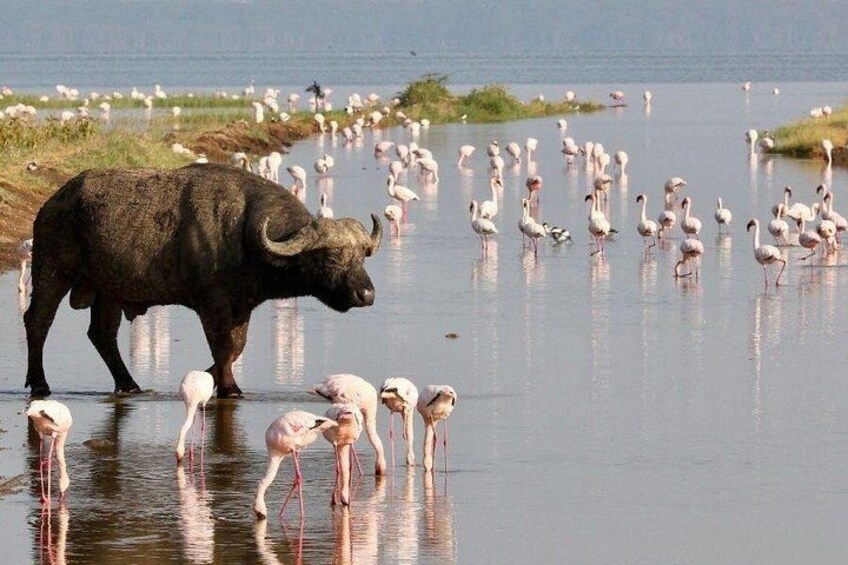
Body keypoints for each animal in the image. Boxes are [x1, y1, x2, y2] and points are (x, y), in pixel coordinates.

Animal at [24, 163, 381, 398]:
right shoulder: (212, 303)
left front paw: (213, 377)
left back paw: (129, 384)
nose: (366, 294)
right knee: (38, 320)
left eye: (362, 255)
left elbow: (235, 347)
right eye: (331, 256)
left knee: (102, 334)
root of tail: (54, 202)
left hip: (109, 289)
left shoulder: (242, 306)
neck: (244, 234)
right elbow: (223, 346)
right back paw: (39, 384)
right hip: (52, 270)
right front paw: (229, 388)